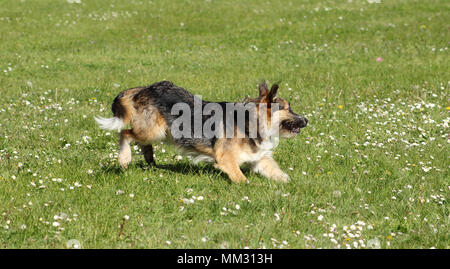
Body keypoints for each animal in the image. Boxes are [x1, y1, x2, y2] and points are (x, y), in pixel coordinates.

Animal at [94, 80, 306, 183]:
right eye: (287, 108)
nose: (306, 120)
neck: (250, 121)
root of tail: (146, 88)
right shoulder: (226, 159)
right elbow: (242, 179)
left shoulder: (259, 159)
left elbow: (279, 174)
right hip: (154, 130)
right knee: (125, 134)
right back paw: (124, 159)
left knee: (141, 143)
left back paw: (150, 159)